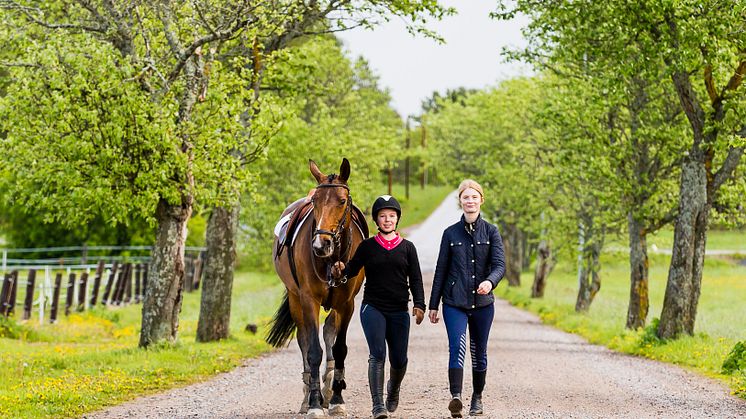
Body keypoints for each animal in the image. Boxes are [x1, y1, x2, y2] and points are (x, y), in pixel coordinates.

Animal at [268, 159, 366, 418]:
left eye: (342, 201)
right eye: (315, 202)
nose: (321, 244)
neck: (330, 259)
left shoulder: (346, 304)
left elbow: (339, 348)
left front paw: (337, 399)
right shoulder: (308, 299)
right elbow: (312, 350)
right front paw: (313, 403)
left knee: (329, 331)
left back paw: (329, 388)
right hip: (295, 298)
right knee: (303, 339)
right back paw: (308, 396)